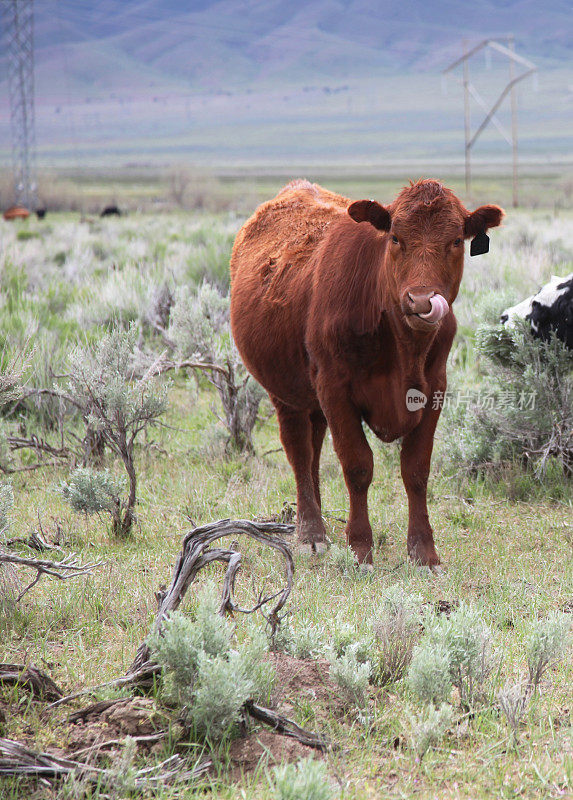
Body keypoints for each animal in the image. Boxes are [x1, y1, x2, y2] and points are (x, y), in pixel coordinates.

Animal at [230, 181, 502, 568]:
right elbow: (357, 465)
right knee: (299, 451)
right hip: (285, 392)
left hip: (312, 399)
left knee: (313, 450)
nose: (421, 300)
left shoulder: (435, 389)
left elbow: (416, 469)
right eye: (396, 238)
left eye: (455, 241)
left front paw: (424, 552)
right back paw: (311, 533)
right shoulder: (335, 388)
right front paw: (360, 549)